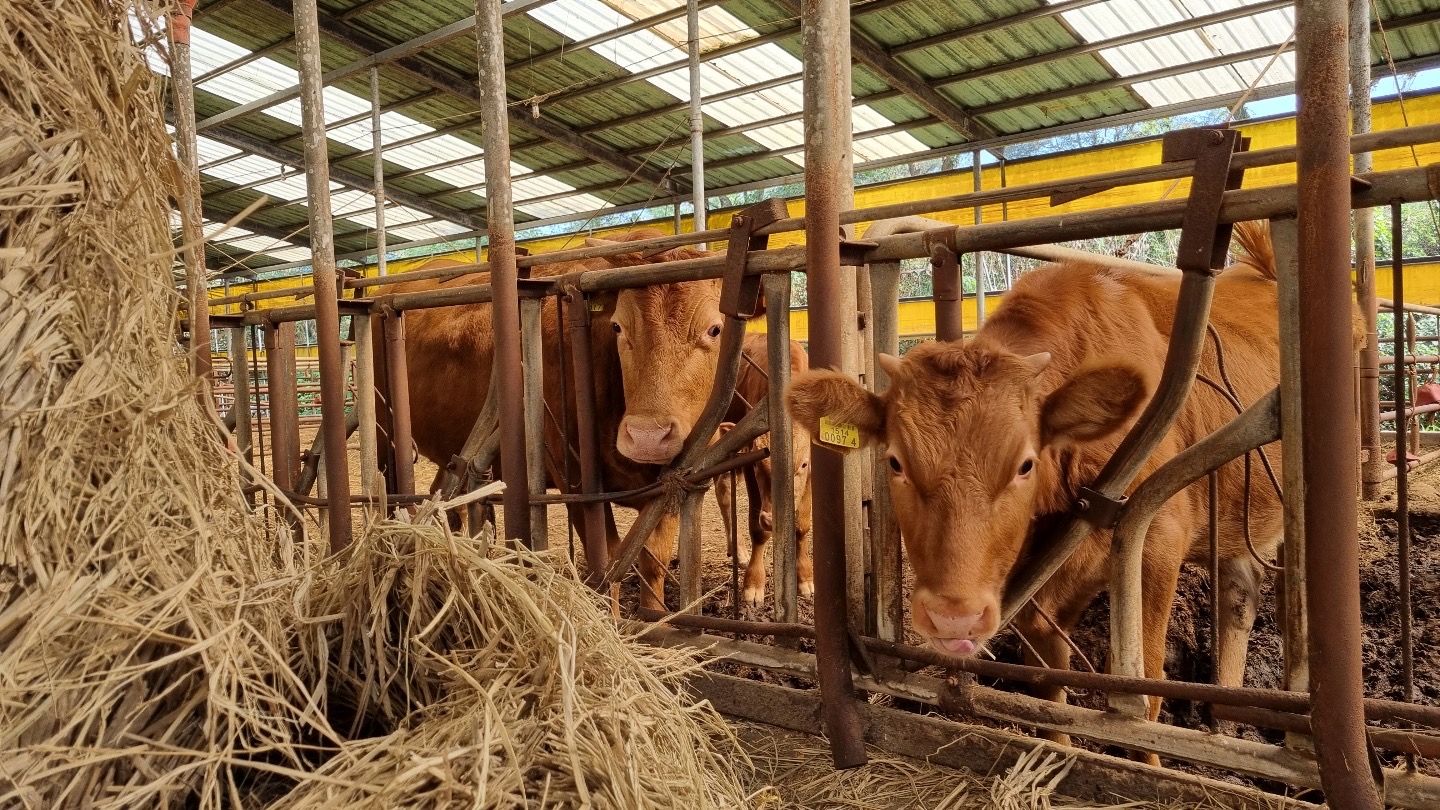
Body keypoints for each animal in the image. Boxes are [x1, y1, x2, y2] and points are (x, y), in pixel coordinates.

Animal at [377, 227, 731, 605]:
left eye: (714, 330)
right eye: (618, 327)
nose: (648, 437)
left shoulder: (675, 481)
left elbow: (653, 562)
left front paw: (658, 612)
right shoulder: (573, 478)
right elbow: (607, 564)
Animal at [708, 331, 812, 602]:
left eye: (803, 464)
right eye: (758, 464)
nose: (771, 518)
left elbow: (802, 525)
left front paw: (805, 578)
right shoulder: (747, 466)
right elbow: (758, 530)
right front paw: (753, 585)